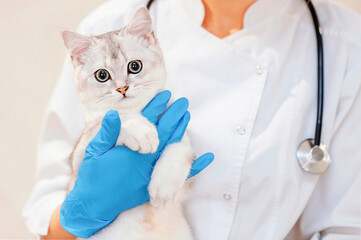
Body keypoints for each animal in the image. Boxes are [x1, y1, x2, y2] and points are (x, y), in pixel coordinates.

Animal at [61, 5, 194, 240]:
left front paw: (163, 187)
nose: (122, 88)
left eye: (134, 66)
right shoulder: (80, 159)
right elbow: (114, 118)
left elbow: (180, 150)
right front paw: (143, 133)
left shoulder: (187, 167)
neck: (139, 109)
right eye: (102, 75)